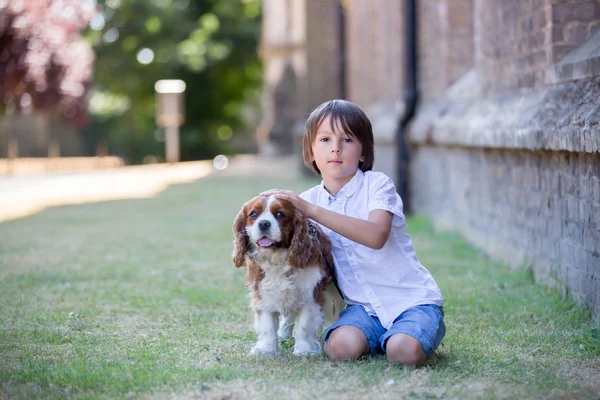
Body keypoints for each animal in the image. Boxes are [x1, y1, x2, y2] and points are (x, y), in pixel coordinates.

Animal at [232, 195, 342, 354]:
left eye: (280, 214)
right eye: (253, 214)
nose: (263, 223)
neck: (276, 259)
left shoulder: (310, 294)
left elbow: (304, 325)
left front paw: (304, 350)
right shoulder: (263, 292)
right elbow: (267, 326)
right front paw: (267, 349)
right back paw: (283, 333)